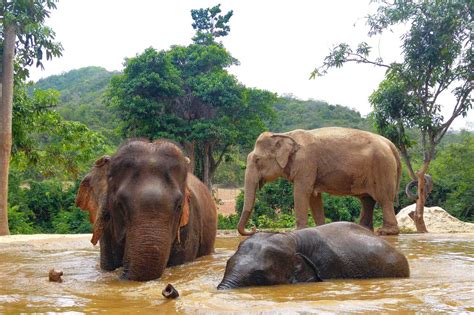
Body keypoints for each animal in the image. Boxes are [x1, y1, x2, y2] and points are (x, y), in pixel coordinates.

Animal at [239, 127, 402, 236]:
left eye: (257, 160)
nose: (253, 229)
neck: (285, 134)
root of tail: (390, 144)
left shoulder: (306, 162)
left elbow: (301, 191)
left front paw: (297, 230)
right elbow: (313, 196)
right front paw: (319, 228)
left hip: (382, 167)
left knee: (384, 199)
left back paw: (385, 232)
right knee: (367, 200)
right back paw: (364, 229)